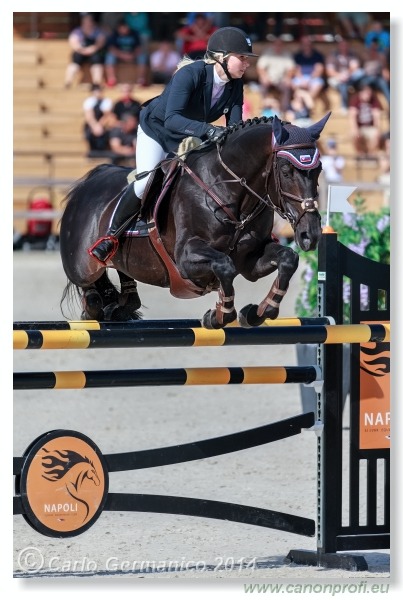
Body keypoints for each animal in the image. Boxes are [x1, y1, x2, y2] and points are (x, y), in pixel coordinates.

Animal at [60, 112, 332, 328]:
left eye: (318, 170)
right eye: (286, 171)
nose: (310, 235)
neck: (230, 190)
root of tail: (90, 181)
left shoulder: (251, 260)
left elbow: (288, 259)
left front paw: (259, 312)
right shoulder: (186, 258)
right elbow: (225, 265)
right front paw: (220, 315)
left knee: (121, 277)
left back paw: (118, 306)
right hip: (81, 265)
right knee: (90, 285)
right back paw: (98, 302)